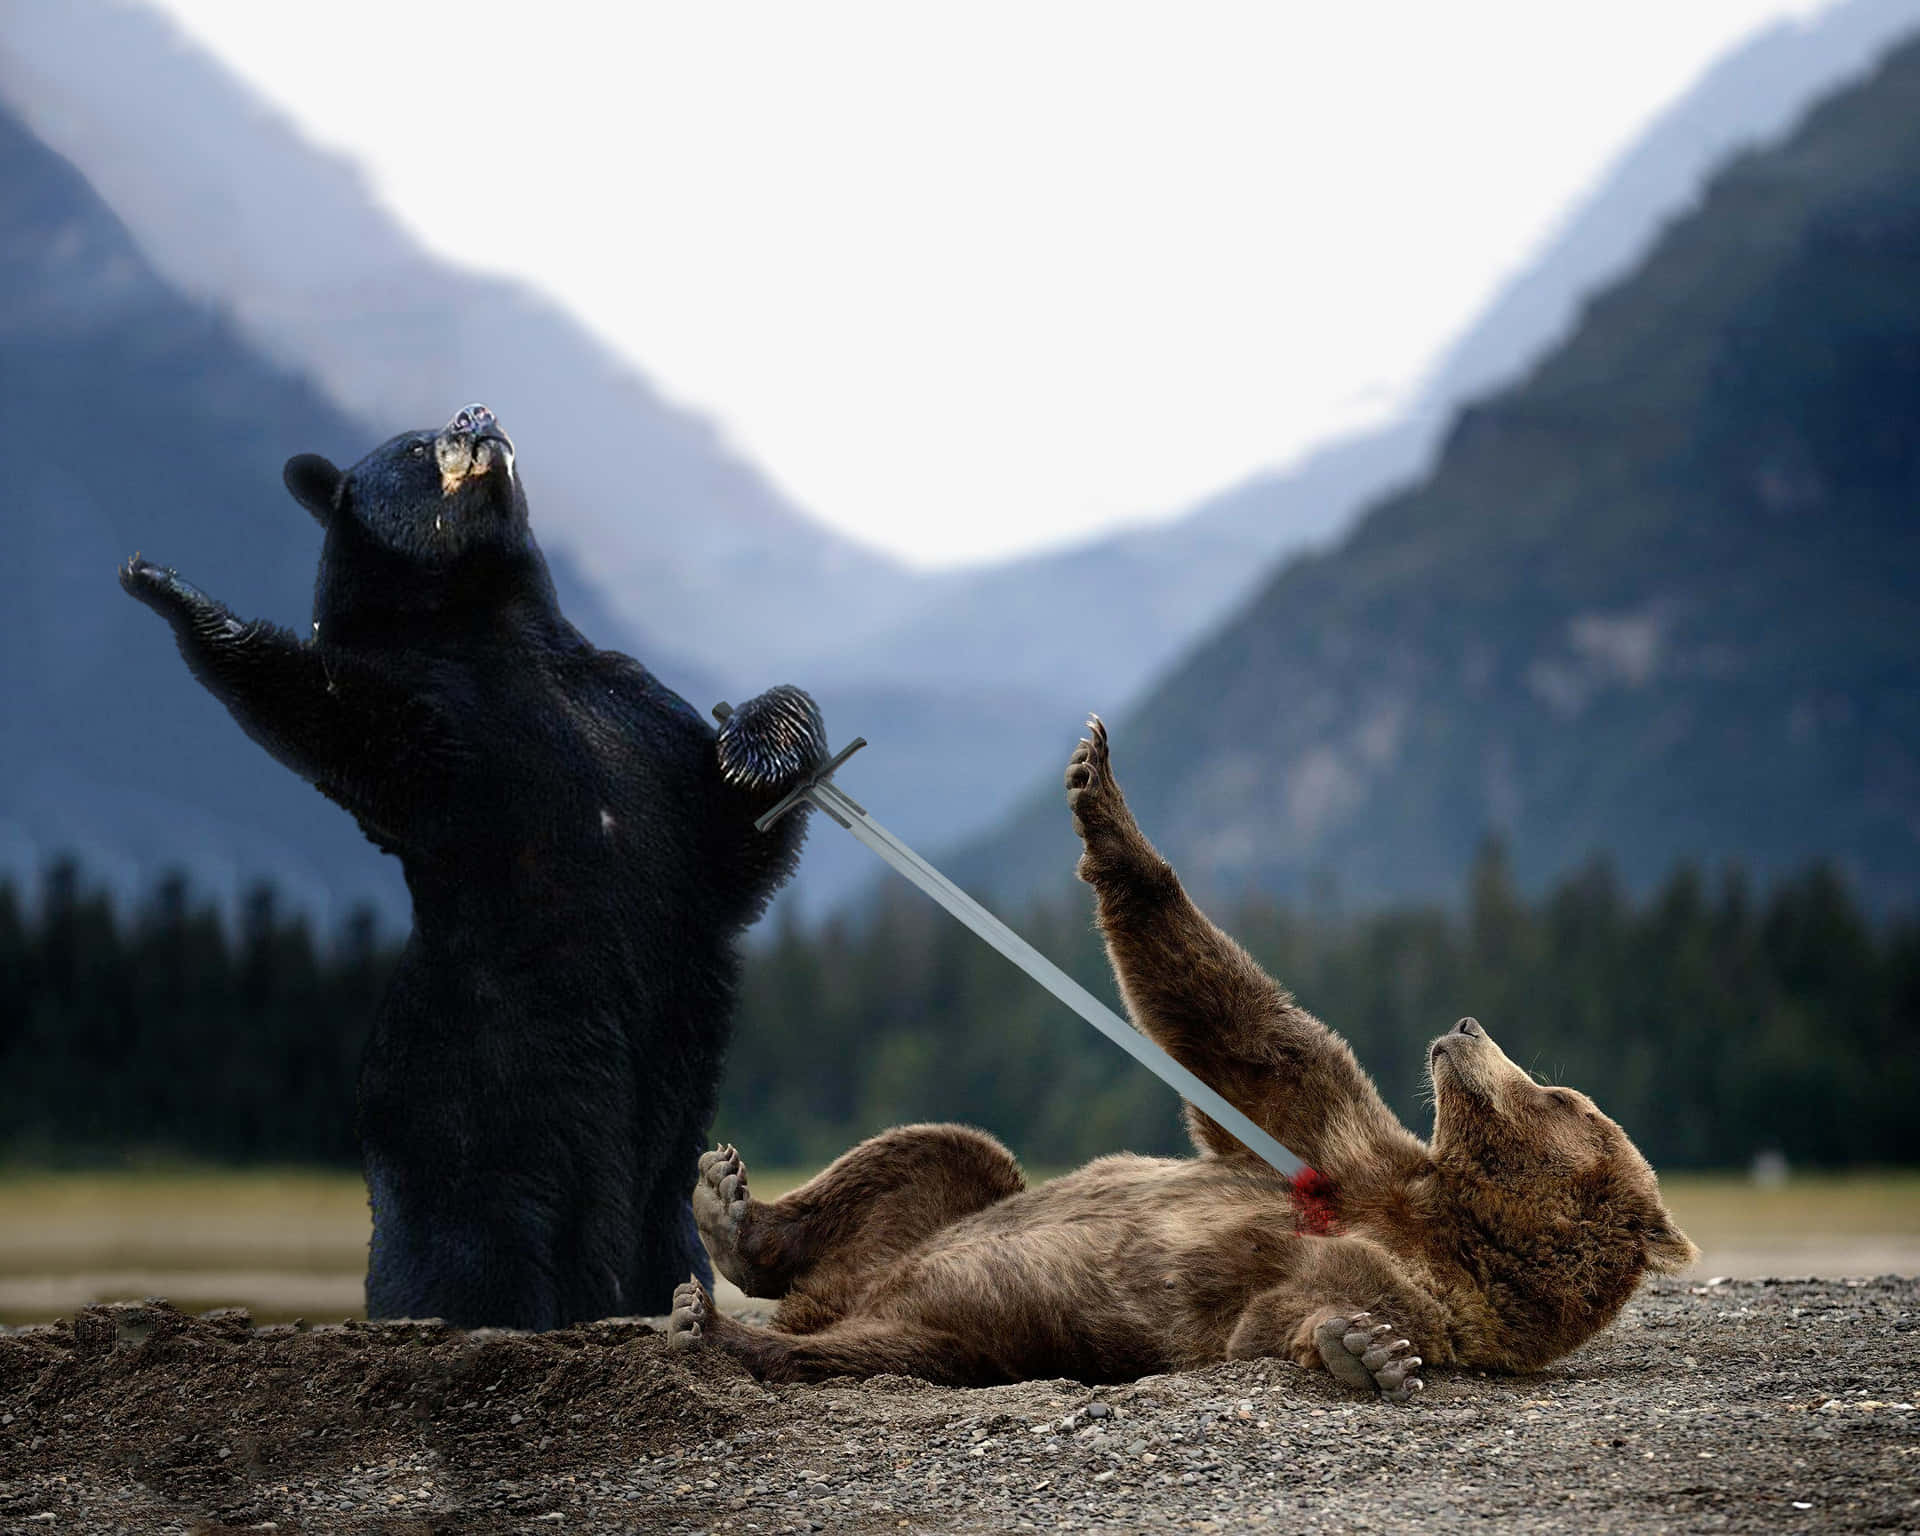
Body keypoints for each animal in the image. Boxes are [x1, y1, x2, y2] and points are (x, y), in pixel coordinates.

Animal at [119, 403, 827, 1330]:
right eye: (417, 446)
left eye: (463, 414)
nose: (475, 415)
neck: (491, 619)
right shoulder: (443, 734)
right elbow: (331, 712)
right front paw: (167, 585)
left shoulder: (633, 716)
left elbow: (731, 840)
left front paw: (758, 742)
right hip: (463, 1143)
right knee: (463, 1268)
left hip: (654, 1205)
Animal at [665, 715, 1697, 1399]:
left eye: (1562, 1097)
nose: (1470, 1028)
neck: (1450, 1216)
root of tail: (837, 1297)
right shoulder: (1340, 1141)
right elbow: (1241, 1035)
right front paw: (1096, 784)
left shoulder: (1440, 1296)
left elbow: (1287, 1313)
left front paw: (1363, 1349)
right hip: (932, 1225)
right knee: (945, 1154)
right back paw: (732, 1210)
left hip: (982, 1332)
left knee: (886, 1348)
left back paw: (721, 1327)